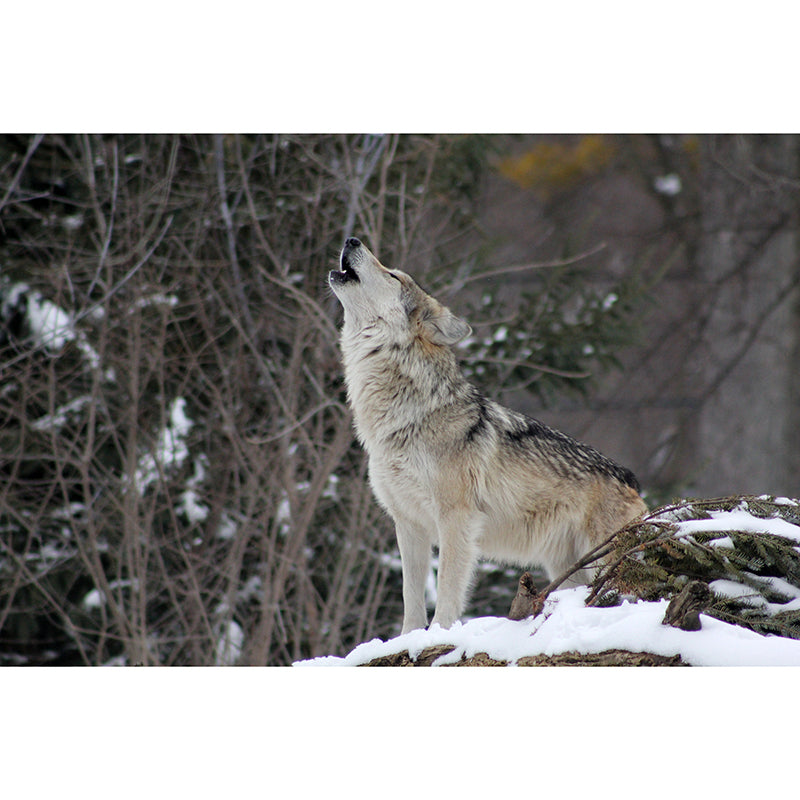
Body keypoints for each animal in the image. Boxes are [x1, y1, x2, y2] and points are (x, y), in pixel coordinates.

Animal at [329, 237, 647, 633]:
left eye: (393, 275)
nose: (351, 239)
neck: (406, 417)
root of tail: (631, 479)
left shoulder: (456, 519)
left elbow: (447, 589)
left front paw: (439, 634)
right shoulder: (408, 523)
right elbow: (411, 596)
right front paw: (409, 638)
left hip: (604, 561)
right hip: (568, 569)